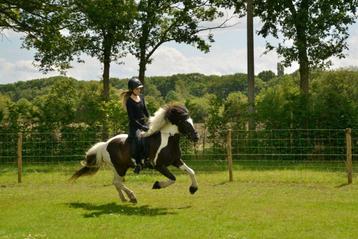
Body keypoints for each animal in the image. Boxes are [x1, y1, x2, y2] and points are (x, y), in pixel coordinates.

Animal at [68, 103, 200, 203]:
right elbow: (173, 178)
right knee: (117, 182)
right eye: (185, 123)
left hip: (118, 167)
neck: (167, 140)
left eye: (192, 121)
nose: (196, 137)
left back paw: (125, 198)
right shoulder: (159, 166)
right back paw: (132, 197)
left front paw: (193, 189)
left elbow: (191, 172)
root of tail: (105, 144)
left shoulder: (176, 161)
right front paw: (157, 185)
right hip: (120, 168)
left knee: (116, 182)